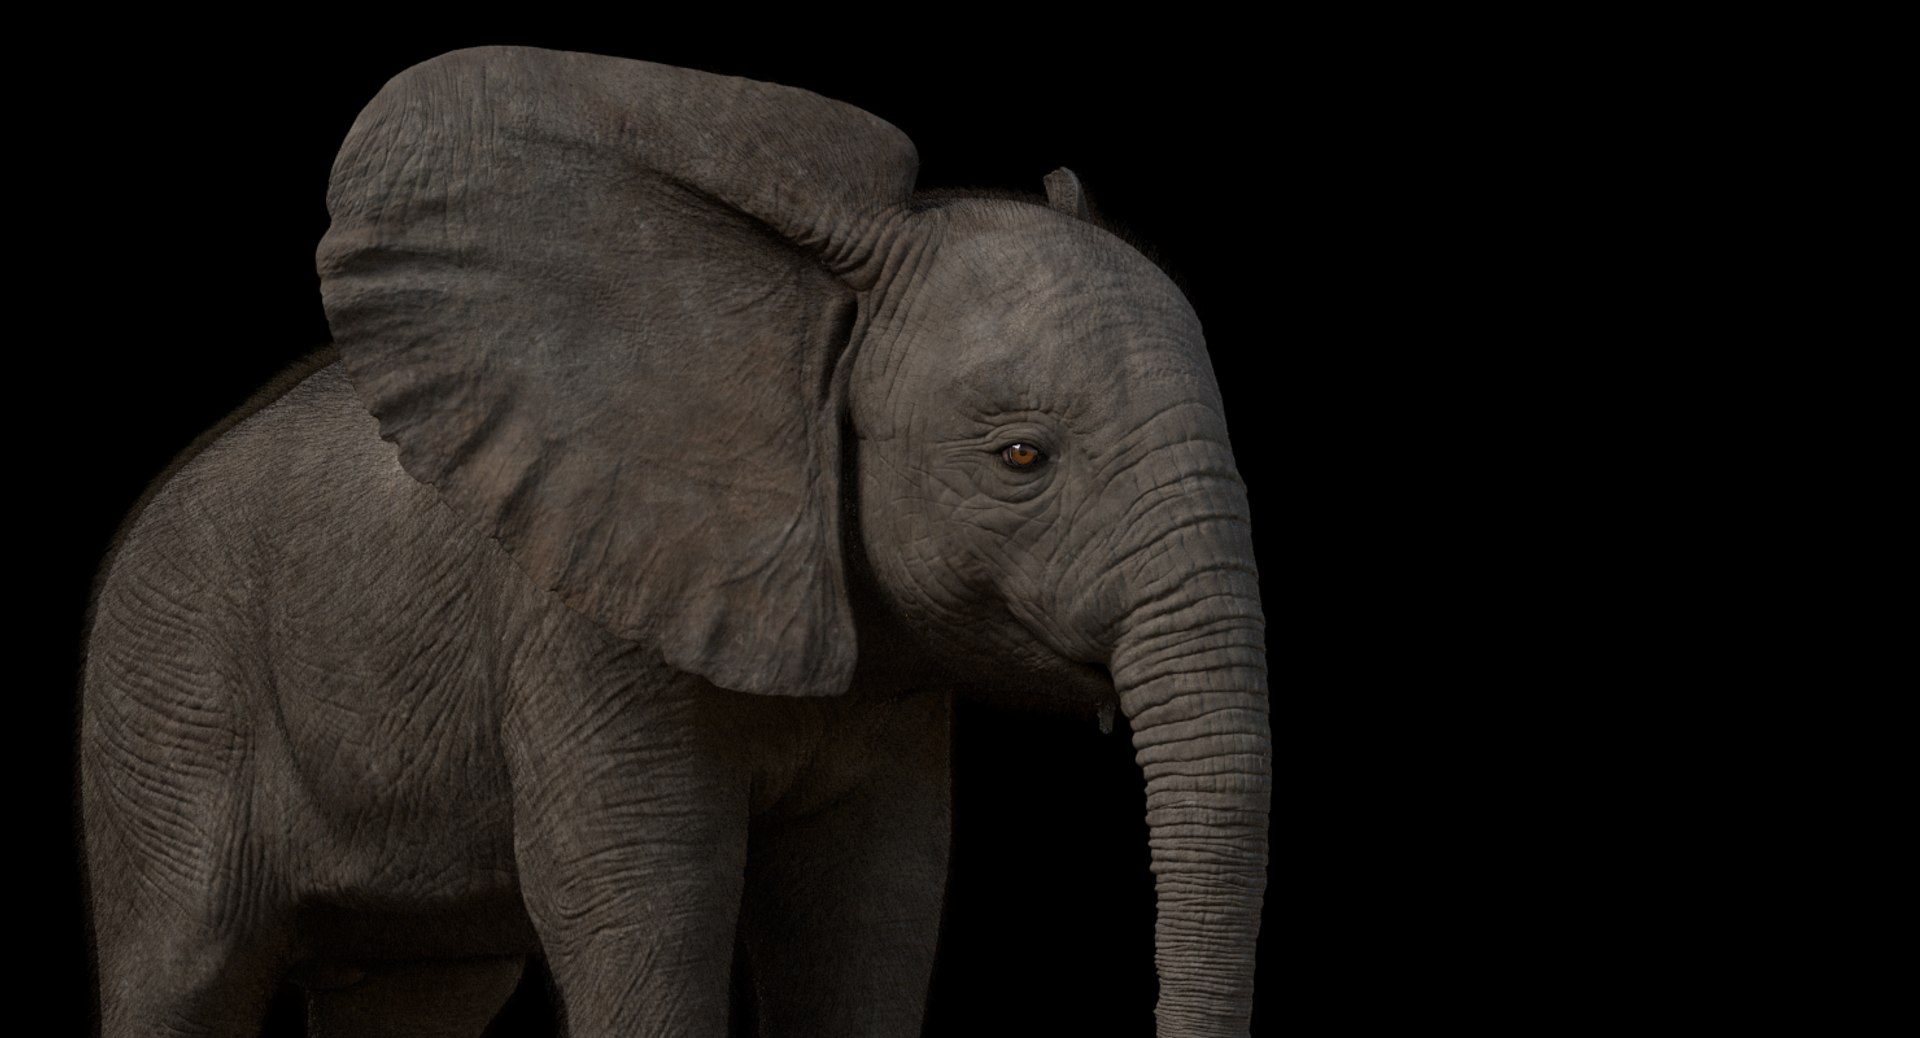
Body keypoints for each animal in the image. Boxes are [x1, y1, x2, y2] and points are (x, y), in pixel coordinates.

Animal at [80, 46, 1270, 1037]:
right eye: (1023, 458)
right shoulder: (583, 619)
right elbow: (649, 913)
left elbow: (867, 917)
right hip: (167, 707)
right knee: (185, 977)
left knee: (425, 998)